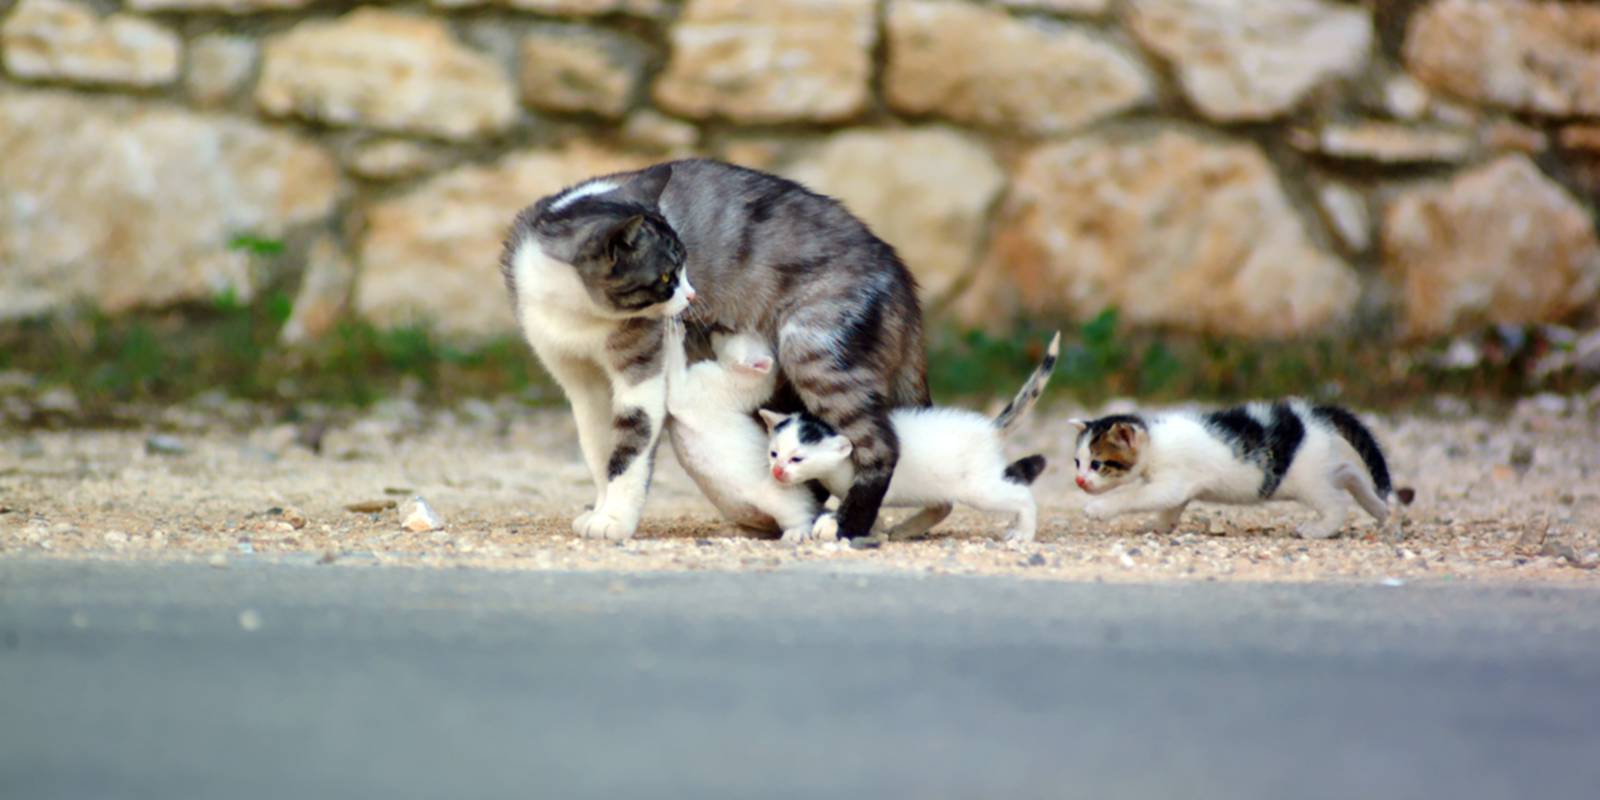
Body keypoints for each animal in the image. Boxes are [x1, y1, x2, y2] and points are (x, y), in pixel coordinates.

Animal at [662, 321, 819, 540]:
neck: (731, 381)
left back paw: (796, 533)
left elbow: (675, 362)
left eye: (730, 331)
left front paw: (673, 333)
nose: (715, 325)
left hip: (781, 501)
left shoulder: (681, 396)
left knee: (802, 517)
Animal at [761, 331, 1062, 544]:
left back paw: (1023, 533)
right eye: (774, 453)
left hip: (979, 487)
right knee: (943, 505)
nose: (777, 471)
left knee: (1021, 494)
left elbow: (859, 504)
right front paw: (876, 529)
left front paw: (843, 528)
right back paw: (906, 529)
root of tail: (989, 428)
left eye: (797, 459)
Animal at [1068, 398, 1395, 537]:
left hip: (1308, 480)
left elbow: (1136, 495)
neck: (1157, 442)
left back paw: (1319, 530)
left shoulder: (1170, 482)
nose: (1079, 481)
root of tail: (1314, 415)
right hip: (1317, 470)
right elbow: (1171, 507)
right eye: (1077, 462)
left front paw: (1098, 509)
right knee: (1347, 471)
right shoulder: (1180, 487)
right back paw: (1378, 508)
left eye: (1096, 464)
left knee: (1337, 501)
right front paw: (1161, 525)